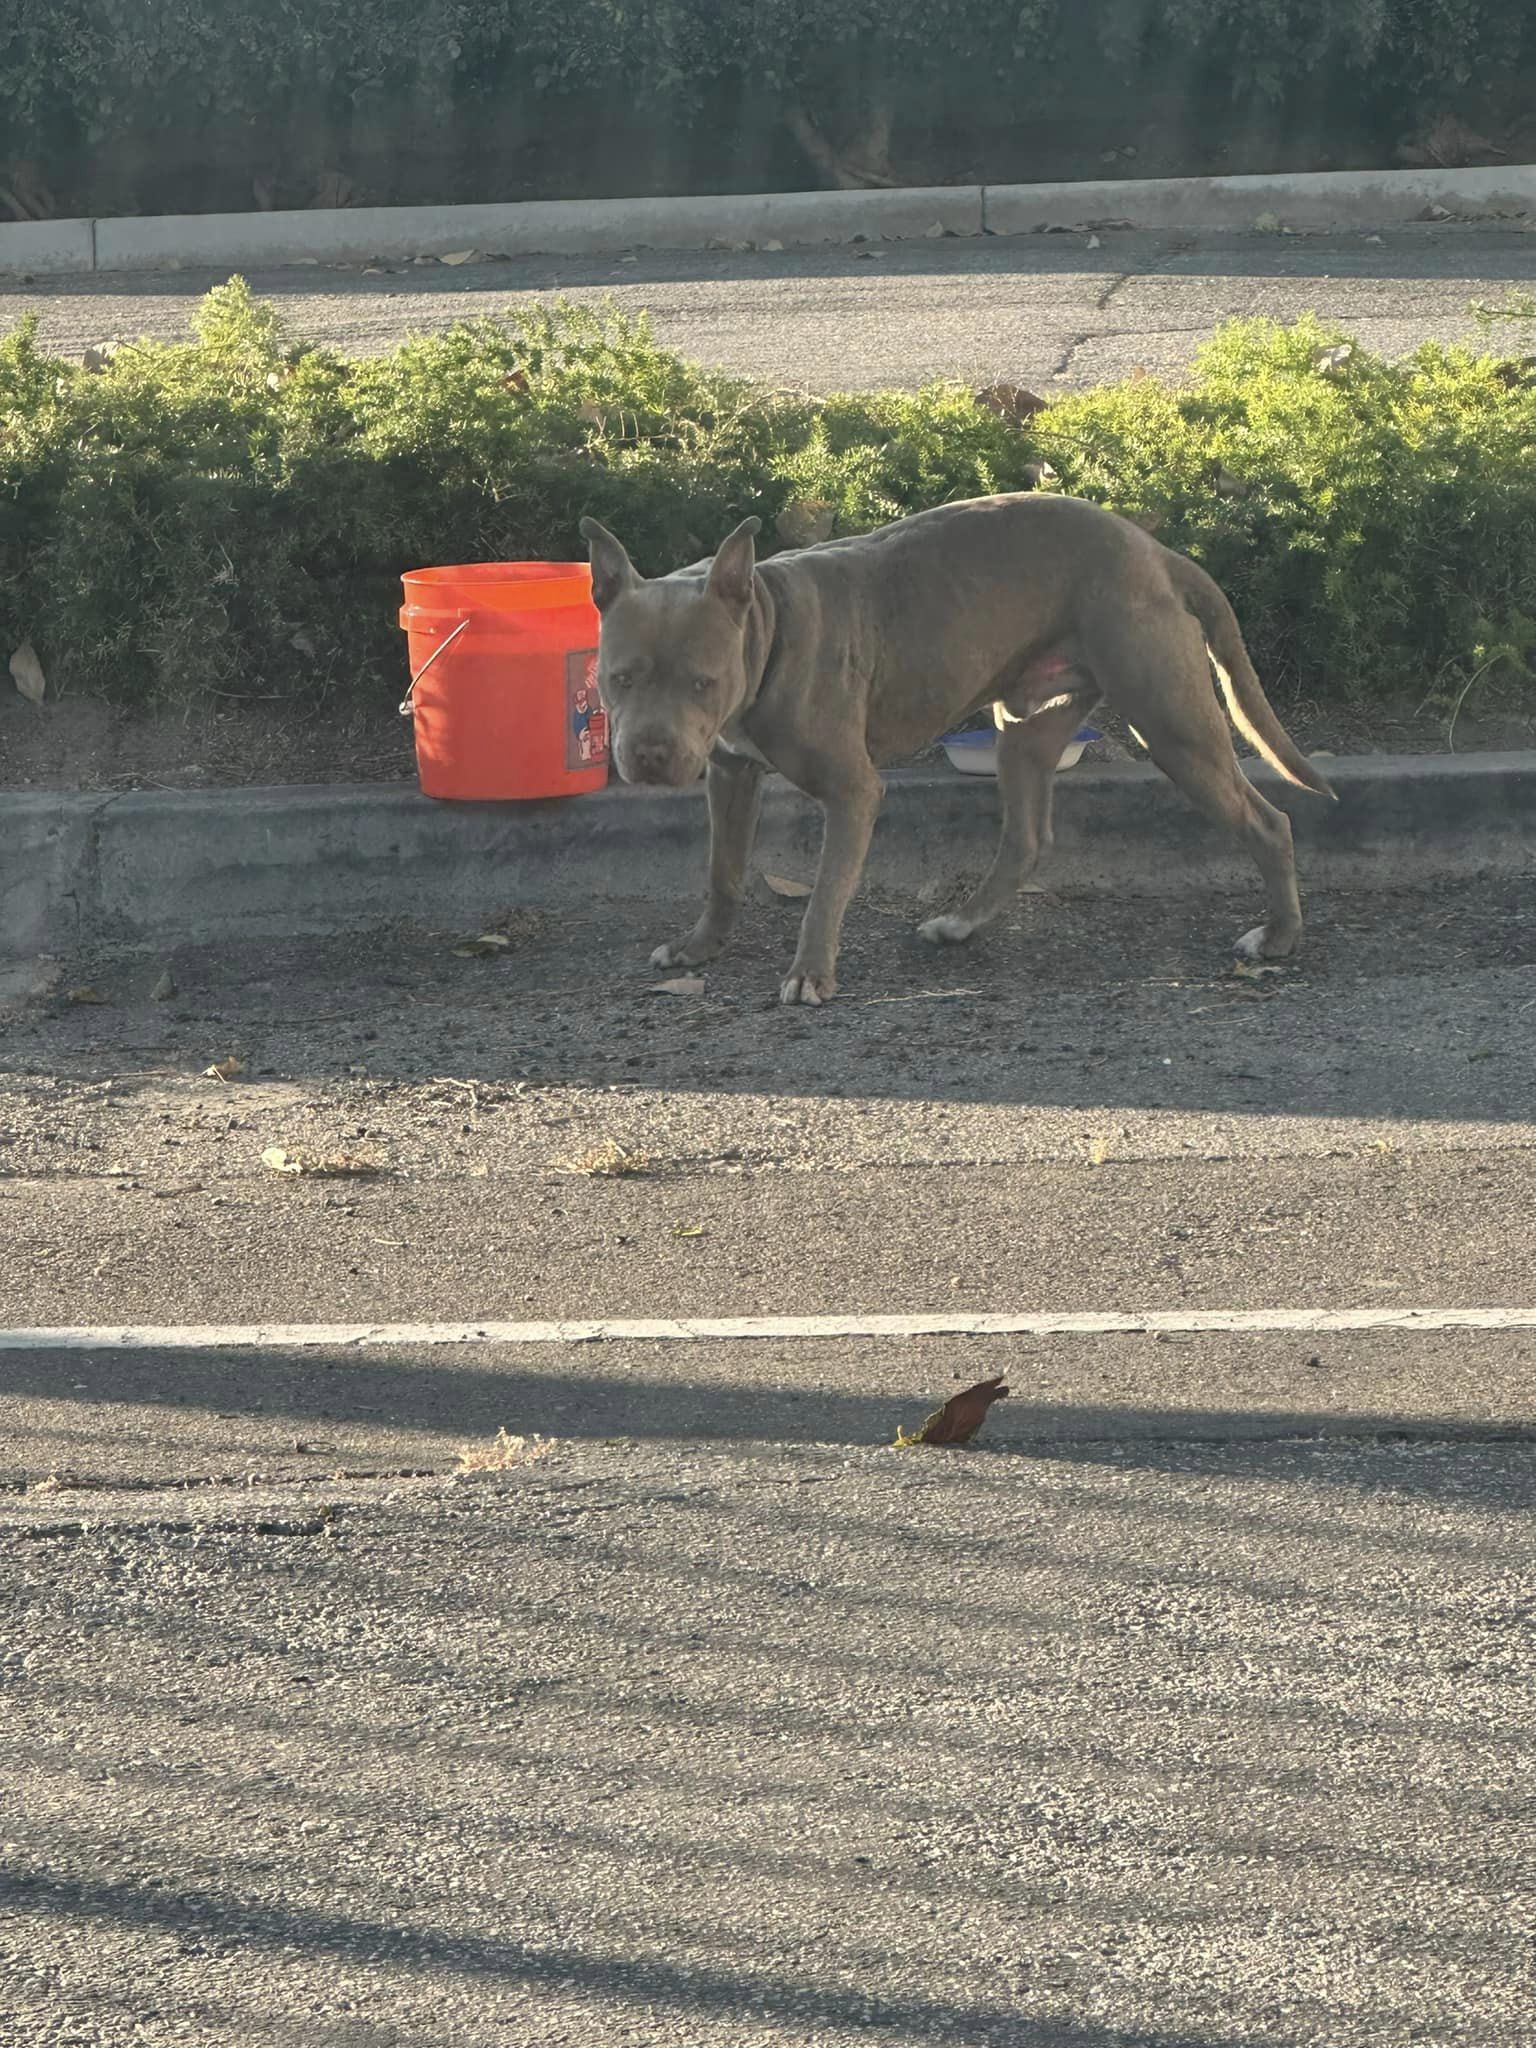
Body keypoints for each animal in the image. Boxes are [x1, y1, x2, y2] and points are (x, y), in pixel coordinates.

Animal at [581, 495, 1335, 1007]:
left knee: (1270, 822)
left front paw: (809, 973)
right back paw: (960, 924)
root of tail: (1155, 551)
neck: (767, 623)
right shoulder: (730, 773)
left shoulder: (853, 792)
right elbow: (723, 871)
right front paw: (699, 947)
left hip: (1174, 728)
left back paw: (1277, 938)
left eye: (702, 682)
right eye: (620, 678)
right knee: (1027, 838)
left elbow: (825, 890)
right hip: (1025, 729)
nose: (650, 754)